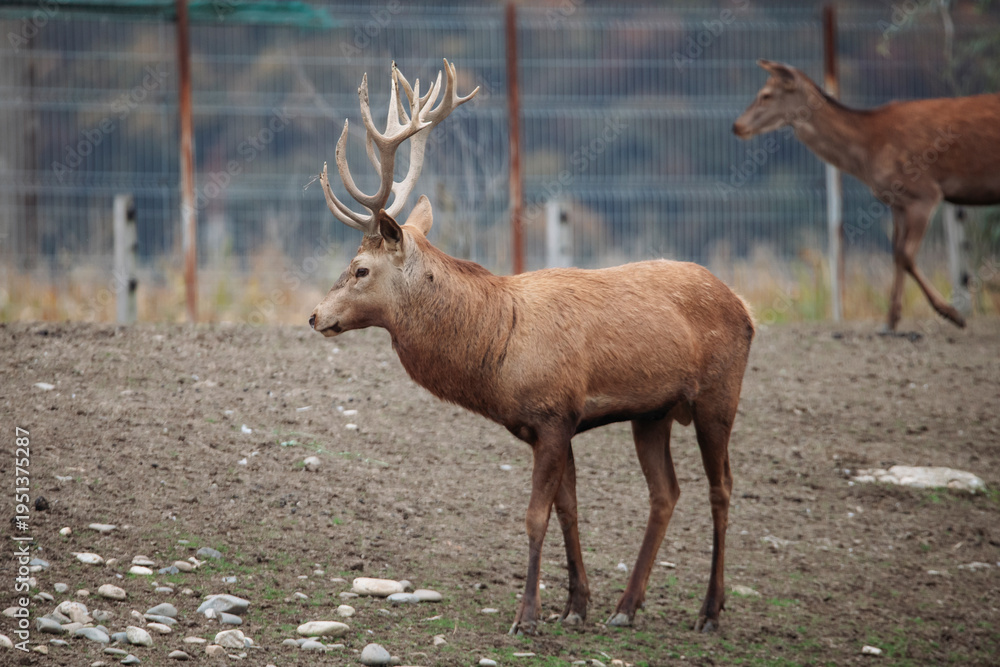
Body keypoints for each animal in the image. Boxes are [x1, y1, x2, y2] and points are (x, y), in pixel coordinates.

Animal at [309, 60, 755, 635]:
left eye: (361, 269)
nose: (316, 315)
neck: (498, 349)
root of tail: (744, 307)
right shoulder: (548, 424)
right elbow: (569, 511)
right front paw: (576, 606)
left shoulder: (553, 413)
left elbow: (535, 515)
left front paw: (527, 615)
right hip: (652, 412)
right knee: (666, 492)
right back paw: (626, 607)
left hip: (720, 394)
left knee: (721, 488)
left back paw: (709, 611)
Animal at [733, 59, 1000, 332]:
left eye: (766, 95)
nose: (737, 126)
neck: (868, 152)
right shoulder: (897, 201)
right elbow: (896, 252)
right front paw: (891, 320)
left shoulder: (924, 192)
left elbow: (905, 254)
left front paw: (952, 314)